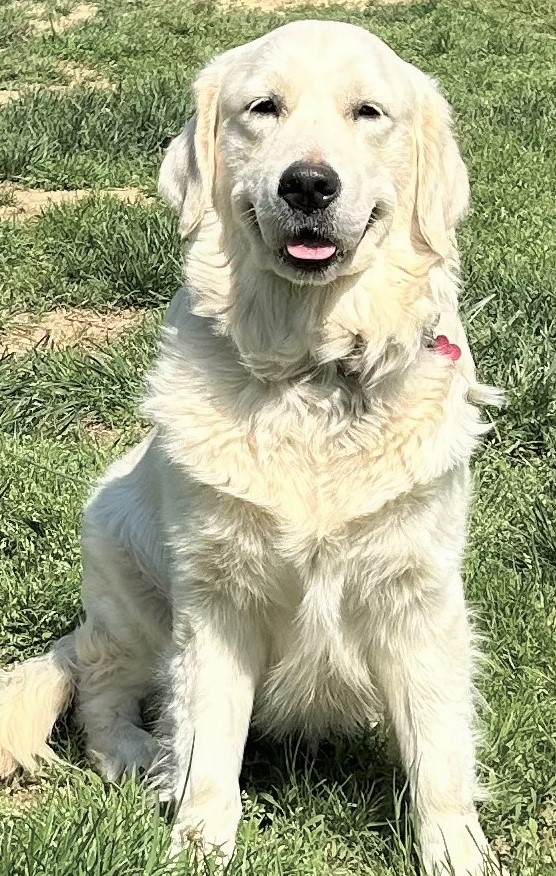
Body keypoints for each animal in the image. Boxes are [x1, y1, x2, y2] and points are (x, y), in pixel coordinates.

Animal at [0, 20, 504, 876]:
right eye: (263, 108)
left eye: (369, 112)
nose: (308, 185)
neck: (313, 369)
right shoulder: (214, 599)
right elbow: (209, 745)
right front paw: (198, 842)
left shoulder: (419, 592)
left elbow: (438, 746)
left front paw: (457, 851)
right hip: (129, 586)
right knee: (102, 686)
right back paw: (138, 754)